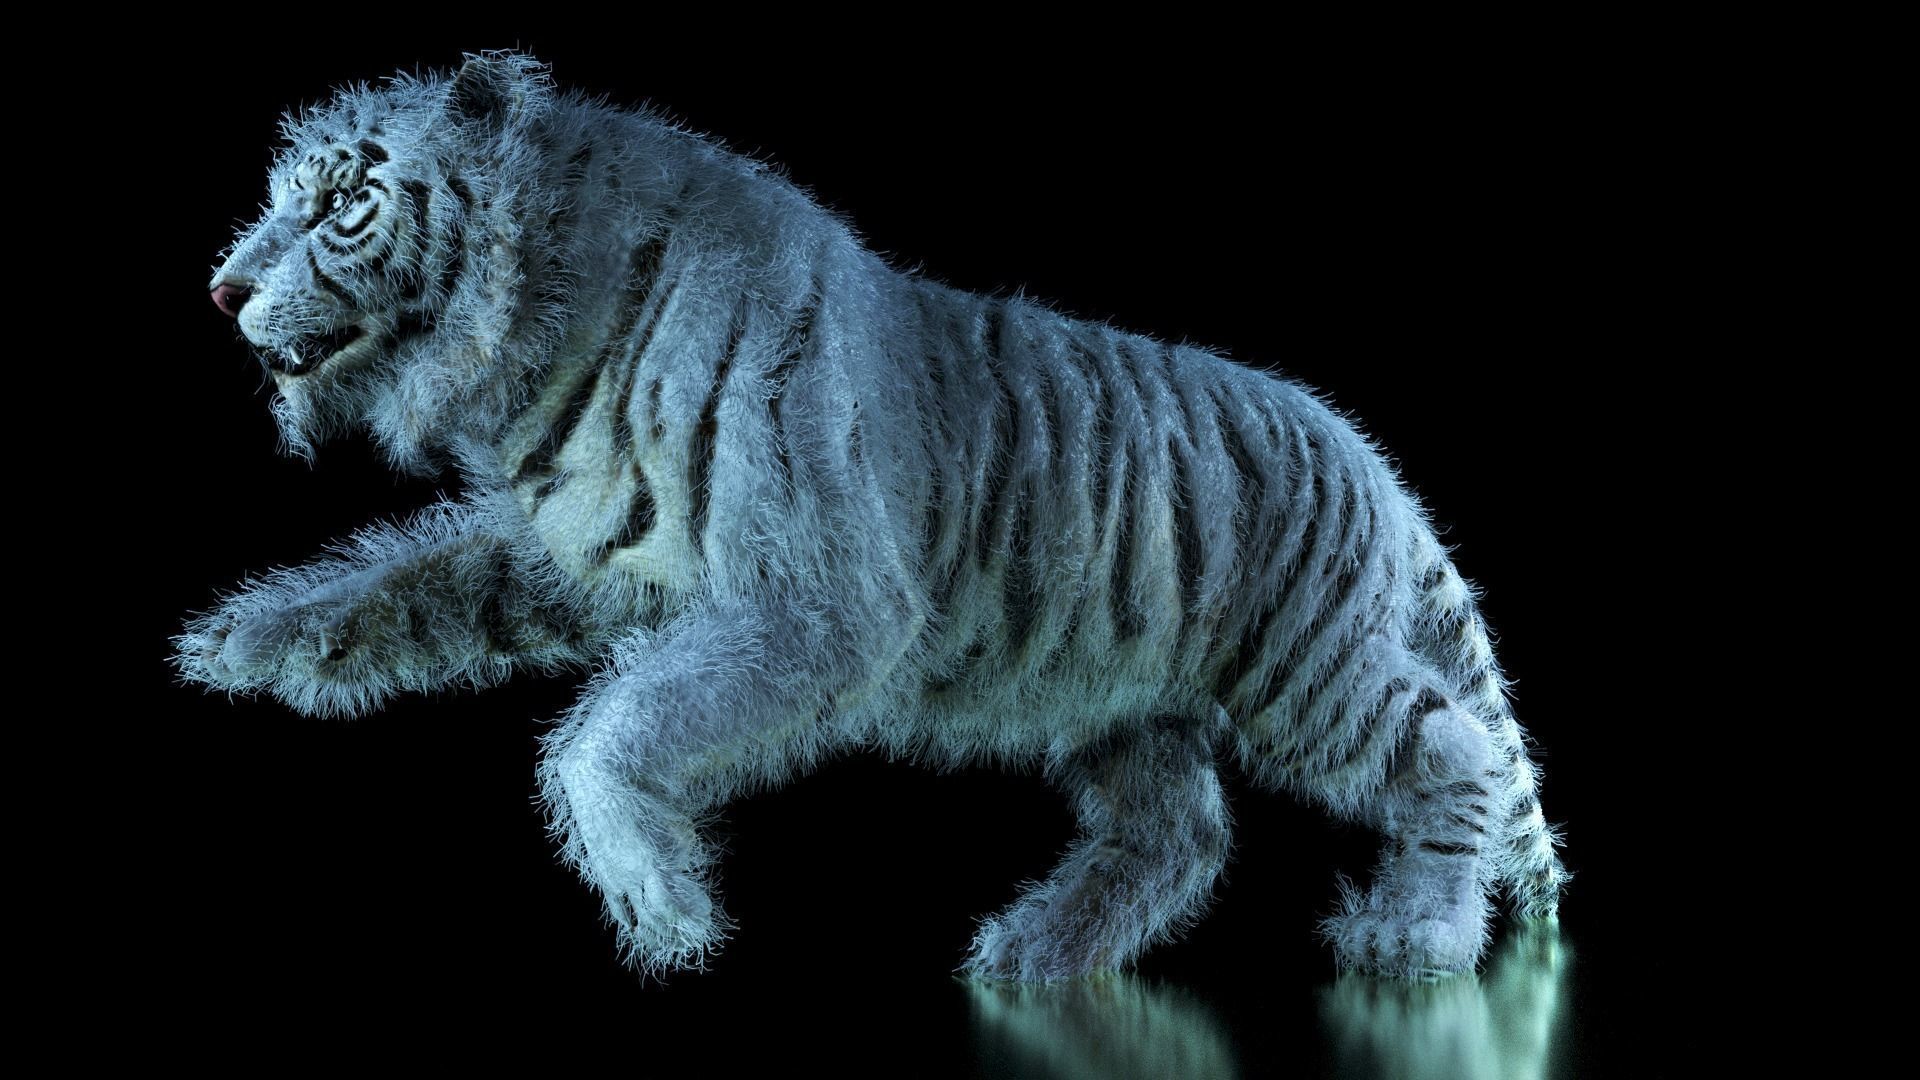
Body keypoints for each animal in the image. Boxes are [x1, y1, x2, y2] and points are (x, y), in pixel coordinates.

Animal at [174, 50, 1570, 983]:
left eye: (338, 203)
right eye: (276, 198)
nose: (223, 286)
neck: (544, 338)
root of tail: (1375, 464)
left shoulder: (820, 604)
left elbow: (606, 733)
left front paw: (663, 905)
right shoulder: (586, 554)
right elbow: (417, 582)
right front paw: (250, 641)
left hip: (1302, 670)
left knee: (1454, 747)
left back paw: (1416, 934)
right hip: (1118, 702)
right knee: (1180, 832)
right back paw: (1035, 950)